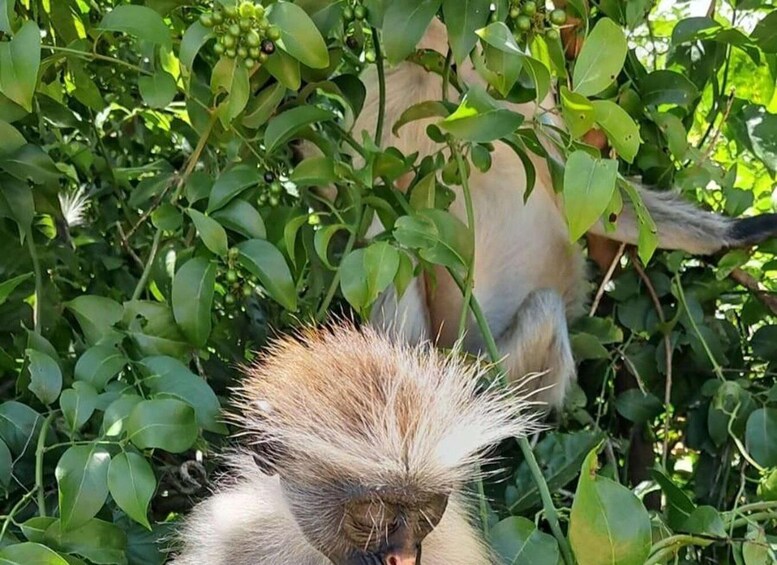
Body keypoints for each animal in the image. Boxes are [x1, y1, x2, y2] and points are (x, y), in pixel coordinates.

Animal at [300, 17, 777, 409]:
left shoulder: (511, 96)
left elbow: (586, 201)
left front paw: (742, 230)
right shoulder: (376, 100)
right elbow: (348, 201)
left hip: (500, 370)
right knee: (389, 249)